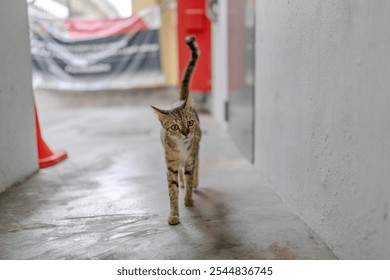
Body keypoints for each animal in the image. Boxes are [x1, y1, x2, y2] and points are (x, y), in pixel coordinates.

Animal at [151, 35, 201, 225]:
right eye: (174, 127)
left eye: (190, 123)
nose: (186, 133)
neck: (181, 149)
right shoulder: (170, 165)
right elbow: (172, 191)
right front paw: (173, 214)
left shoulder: (190, 159)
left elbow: (190, 175)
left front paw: (189, 198)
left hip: (197, 147)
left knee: (197, 164)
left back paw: (194, 183)